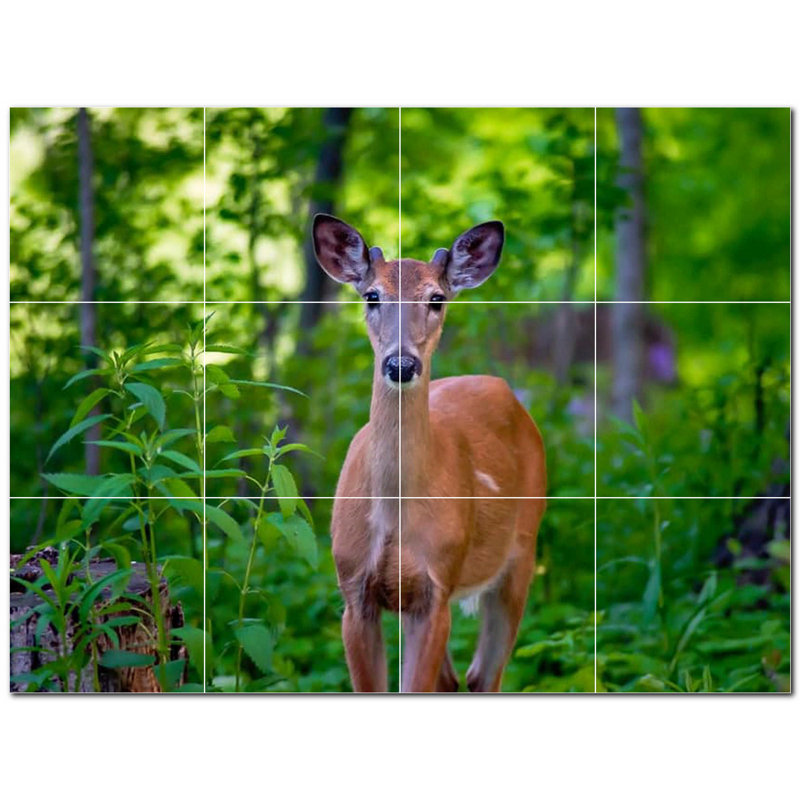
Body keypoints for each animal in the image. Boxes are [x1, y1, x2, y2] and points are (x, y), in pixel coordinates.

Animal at [312, 214, 547, 693]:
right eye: (372, 295)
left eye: (437, 298)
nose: (401, 364)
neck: (393, 513)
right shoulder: (354, 590)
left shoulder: (437, 586)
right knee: (456, 681)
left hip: (522, 553)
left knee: (484, 677)